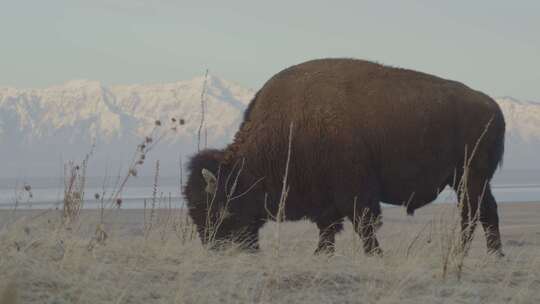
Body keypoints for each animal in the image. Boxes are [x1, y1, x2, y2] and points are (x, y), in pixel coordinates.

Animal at [182, 58, 506, 255]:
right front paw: (321, 254)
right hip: (472, 181)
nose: (215, 248)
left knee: (471, 215)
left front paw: (373, 254)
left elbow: (363, 224)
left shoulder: (355, 192)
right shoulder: (326, 200)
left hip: (469, 178)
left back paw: (465, 252)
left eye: (216, 209)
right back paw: (495, 254)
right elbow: (328, 228)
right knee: (487, 212)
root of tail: (493, 107)